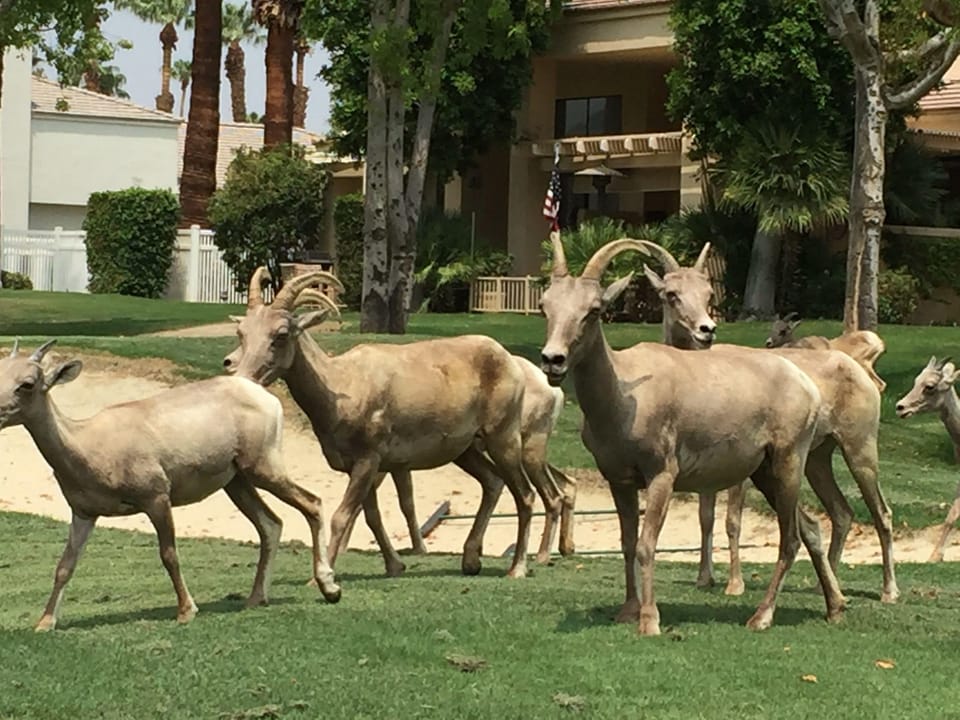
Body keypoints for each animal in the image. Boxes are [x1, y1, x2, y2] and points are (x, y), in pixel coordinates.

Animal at [0, 339, 341, 631]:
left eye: (27, 383)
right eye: (1, 372)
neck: (89, 446)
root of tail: (265, 397)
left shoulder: (156, 497)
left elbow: (168, 555)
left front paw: (186, 611)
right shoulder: (84, 512)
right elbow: (65, 565)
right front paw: (45, 623)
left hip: (264, 467)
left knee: (312, 503)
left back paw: (330, 588)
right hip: (237, 481)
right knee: (270, 524)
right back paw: (256, 598)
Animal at [224, 269, 563, 579]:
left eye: (281, 334)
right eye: (242, 332)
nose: (241, 375)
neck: (342, 387)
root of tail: (510, 362)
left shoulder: (368, 460)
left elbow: (342, 515)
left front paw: (322, 577)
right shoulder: (362, 466)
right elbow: (371, 516)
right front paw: (395, 565)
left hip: (503, 437)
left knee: (525, 494)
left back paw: (517, 568)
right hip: (465, 450)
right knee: (492, 482)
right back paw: (470, 560)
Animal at [539, 234, 845, 635]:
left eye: (593, 310)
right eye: (545, 307)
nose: (552, 360)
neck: (623, 399)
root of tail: (807, 387)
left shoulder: (662, 476)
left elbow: (647, 545)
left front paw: (650, 621)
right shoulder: (619, 480)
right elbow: (627, 542)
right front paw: (628, 611)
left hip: (789, 462)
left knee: (791, 538)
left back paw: (761, 617)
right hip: (765, 474)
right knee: (808, 528)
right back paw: (835, 607)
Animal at [637, 241, 897, 602]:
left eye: (708, 294)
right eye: (671, 293)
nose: (706, 330)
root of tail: (859, 369)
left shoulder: (741, 473)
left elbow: (732, 520)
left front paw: (734, 584)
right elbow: (706, 517)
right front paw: (705, 578)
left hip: (859, 450)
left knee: (881, 513)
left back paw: (889, 591)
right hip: (816, 460)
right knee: (841, 513)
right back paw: (825, 586)